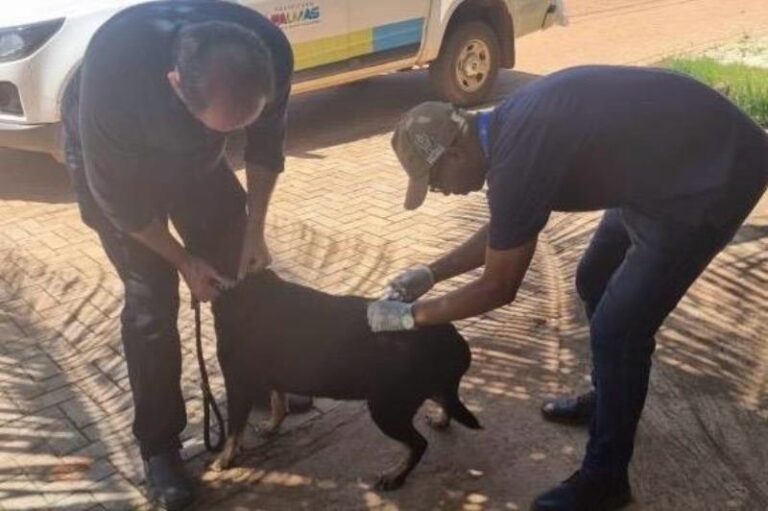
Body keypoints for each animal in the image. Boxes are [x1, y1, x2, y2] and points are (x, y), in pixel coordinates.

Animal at [210, 270, 480, 490]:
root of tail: (456, 340)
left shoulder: (238, 383)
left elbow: (234, 430)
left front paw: (224, 460)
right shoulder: (273, 374)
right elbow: (278, 402)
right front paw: (271, 427)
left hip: (387, 407)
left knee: (419, 444)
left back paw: (396, 476)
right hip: (421, 390)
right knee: (447, 402)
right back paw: (441, 421)